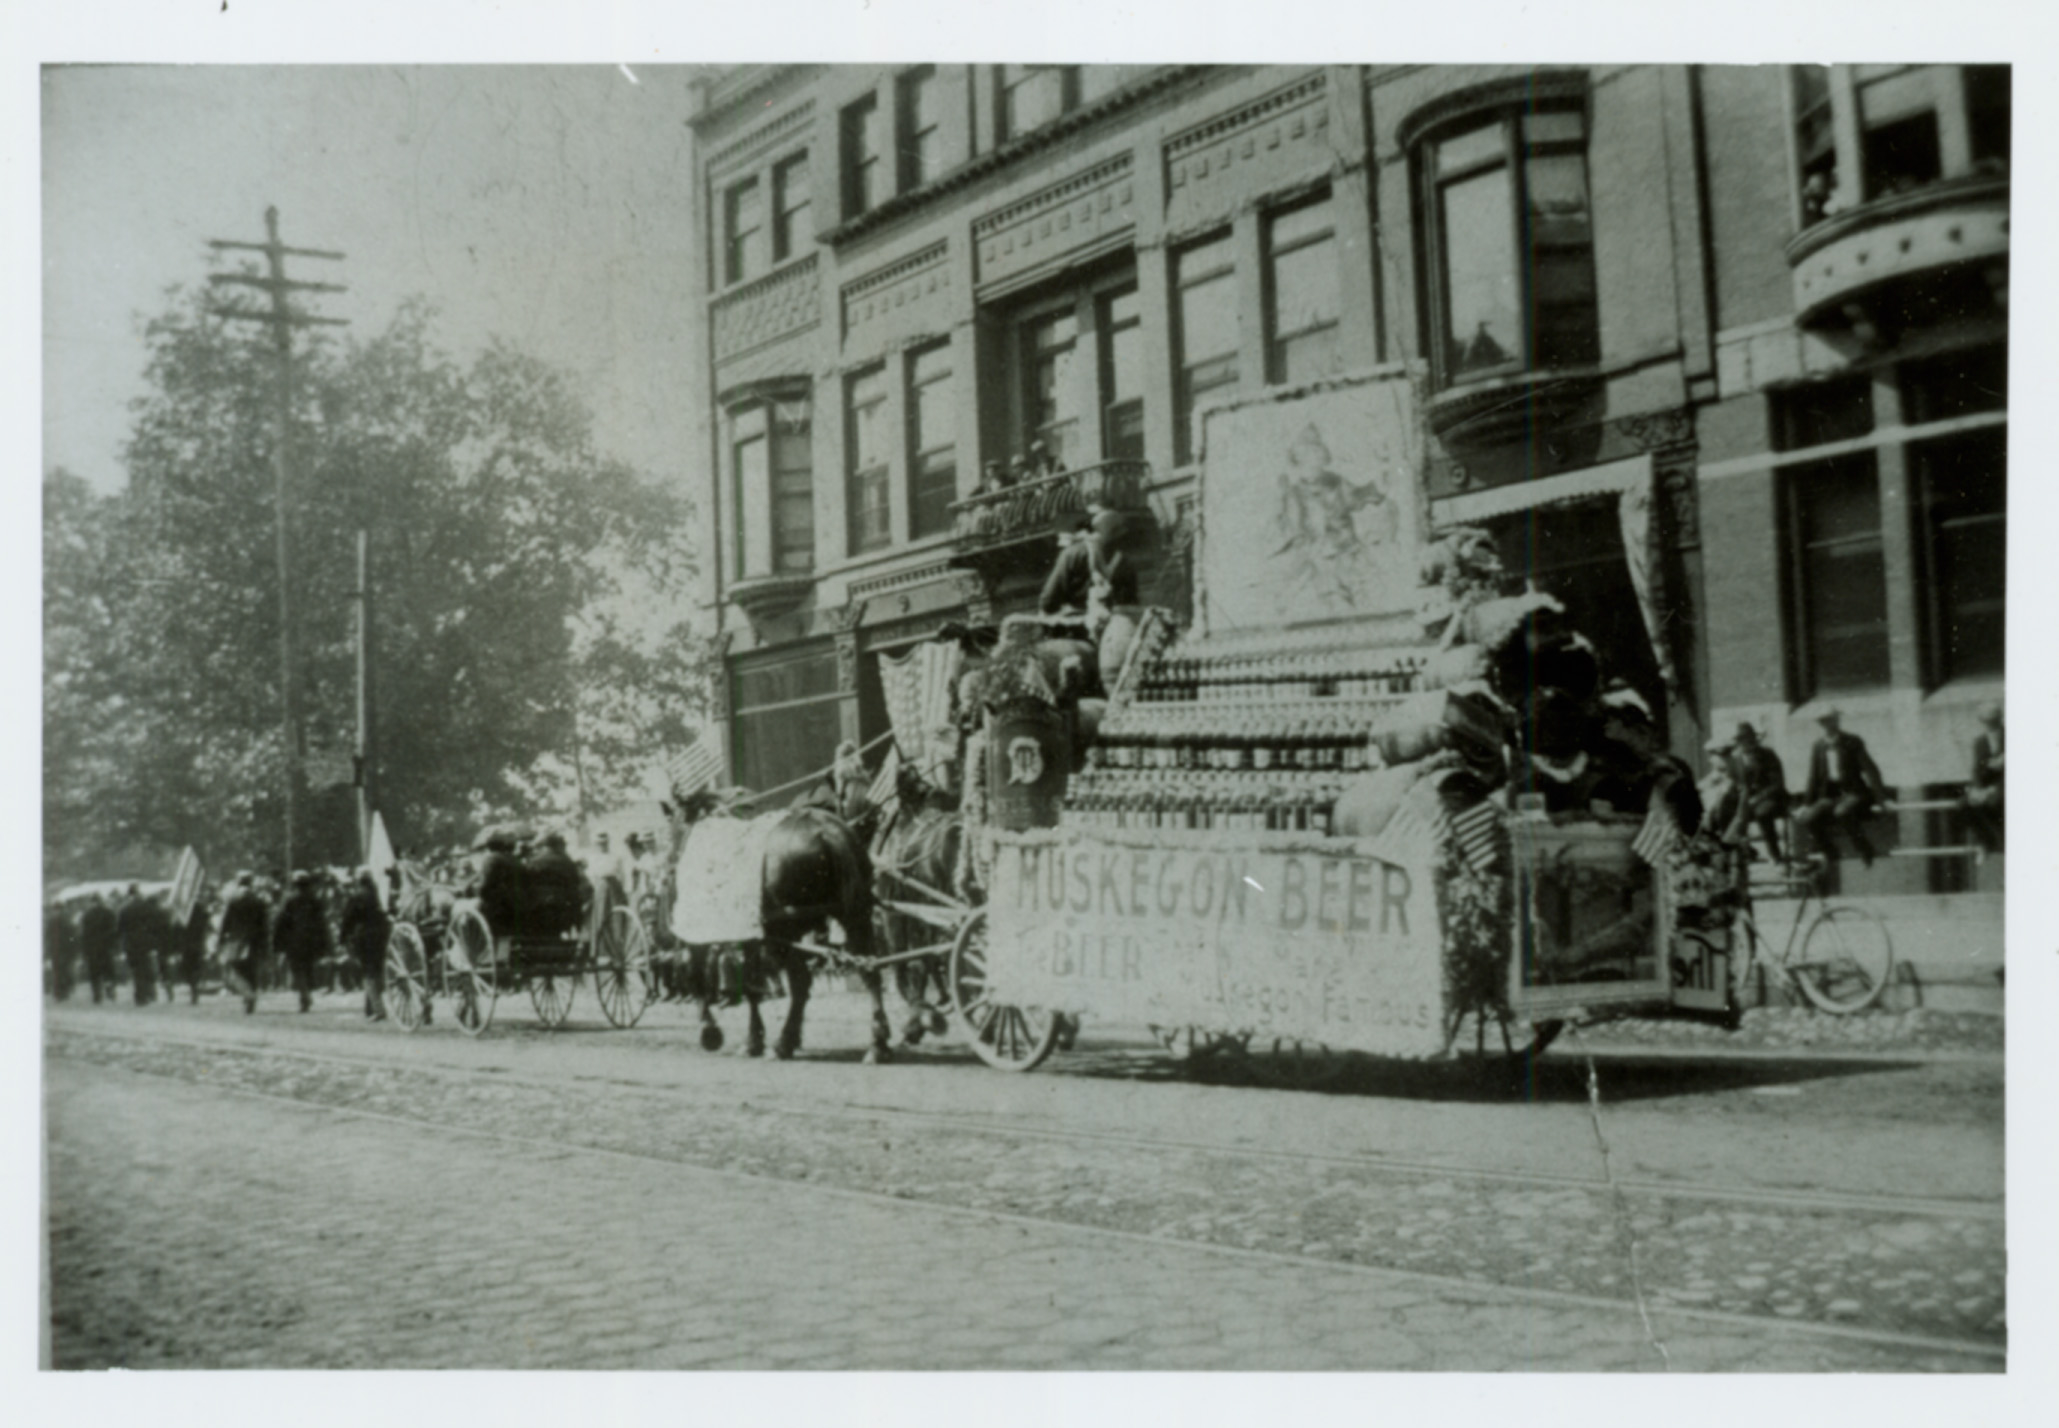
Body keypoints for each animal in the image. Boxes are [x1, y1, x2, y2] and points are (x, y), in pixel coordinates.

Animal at [658, 794, 885, 1061]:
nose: (666, 873)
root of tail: (827, 831)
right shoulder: (748, 936)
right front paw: (751, 1038)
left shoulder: (703, 932)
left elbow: (705, 976)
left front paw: (716, 1032)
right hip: (854, 917)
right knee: (869, 969)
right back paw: (877, 1043)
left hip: (786, 929)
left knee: (800, 983)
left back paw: (785, 1041)